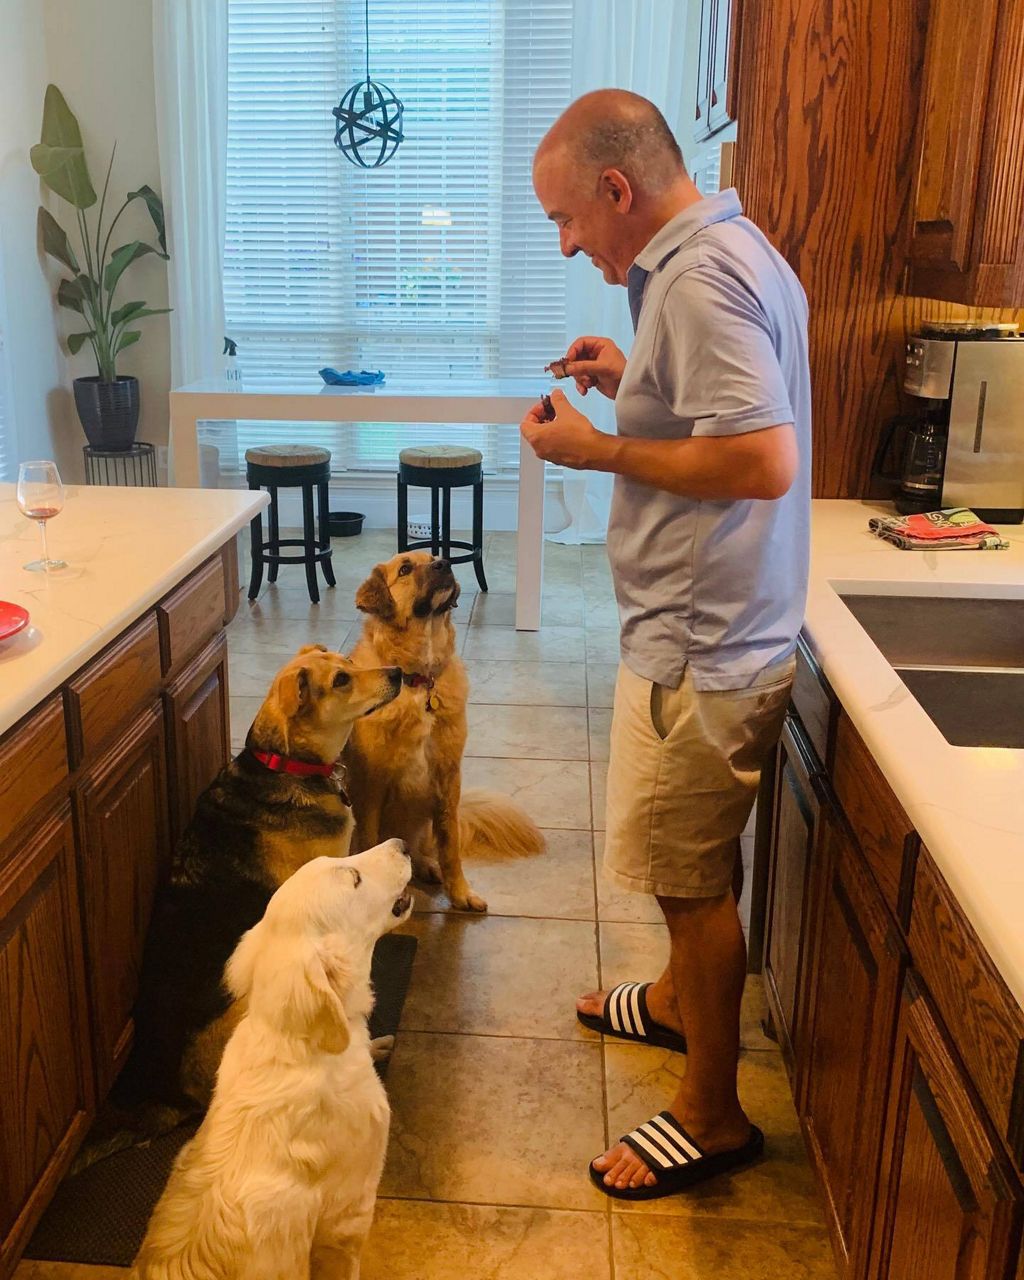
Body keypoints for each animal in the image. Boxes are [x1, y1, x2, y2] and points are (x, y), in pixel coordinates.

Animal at [343, 550, 542, 911]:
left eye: (435, 555)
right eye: (405, 569)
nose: (445, 564)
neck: (419, 680)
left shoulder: (447, 780)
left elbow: (450, 846)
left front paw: (460, 893)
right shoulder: (370, 787)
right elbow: (369, 843)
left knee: (422, 849)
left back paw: (427, 866)